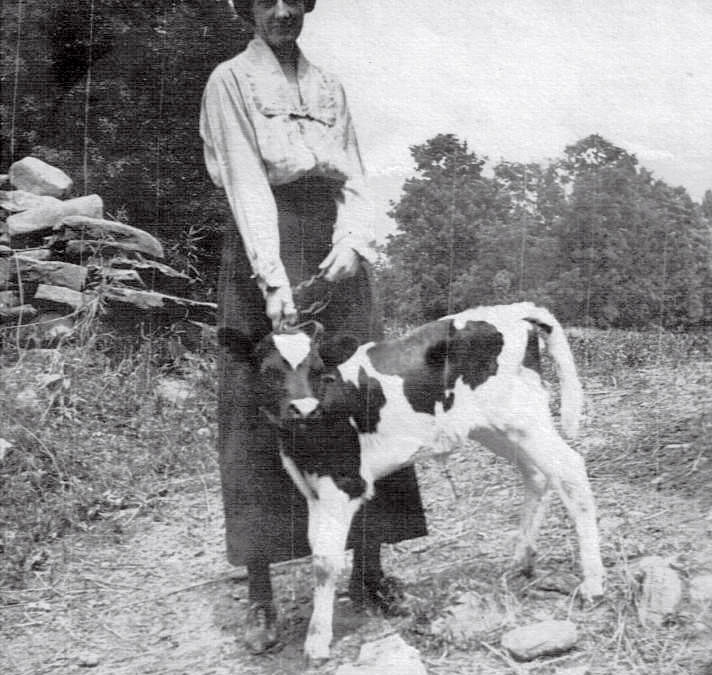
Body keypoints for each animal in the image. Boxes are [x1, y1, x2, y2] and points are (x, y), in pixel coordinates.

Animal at [253, 304, 604, 664]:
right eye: (269, 372)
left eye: (317, 370)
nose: (304, 410)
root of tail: (517, 311)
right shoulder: (312, 490)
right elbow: (316, 549)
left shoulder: (343, 483)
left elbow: (324, 562)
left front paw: (317, 641)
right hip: (497, 427)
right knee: (537, 475)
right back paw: (521, 560)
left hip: (521, 418)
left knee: (570, 470)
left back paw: (592, 584)